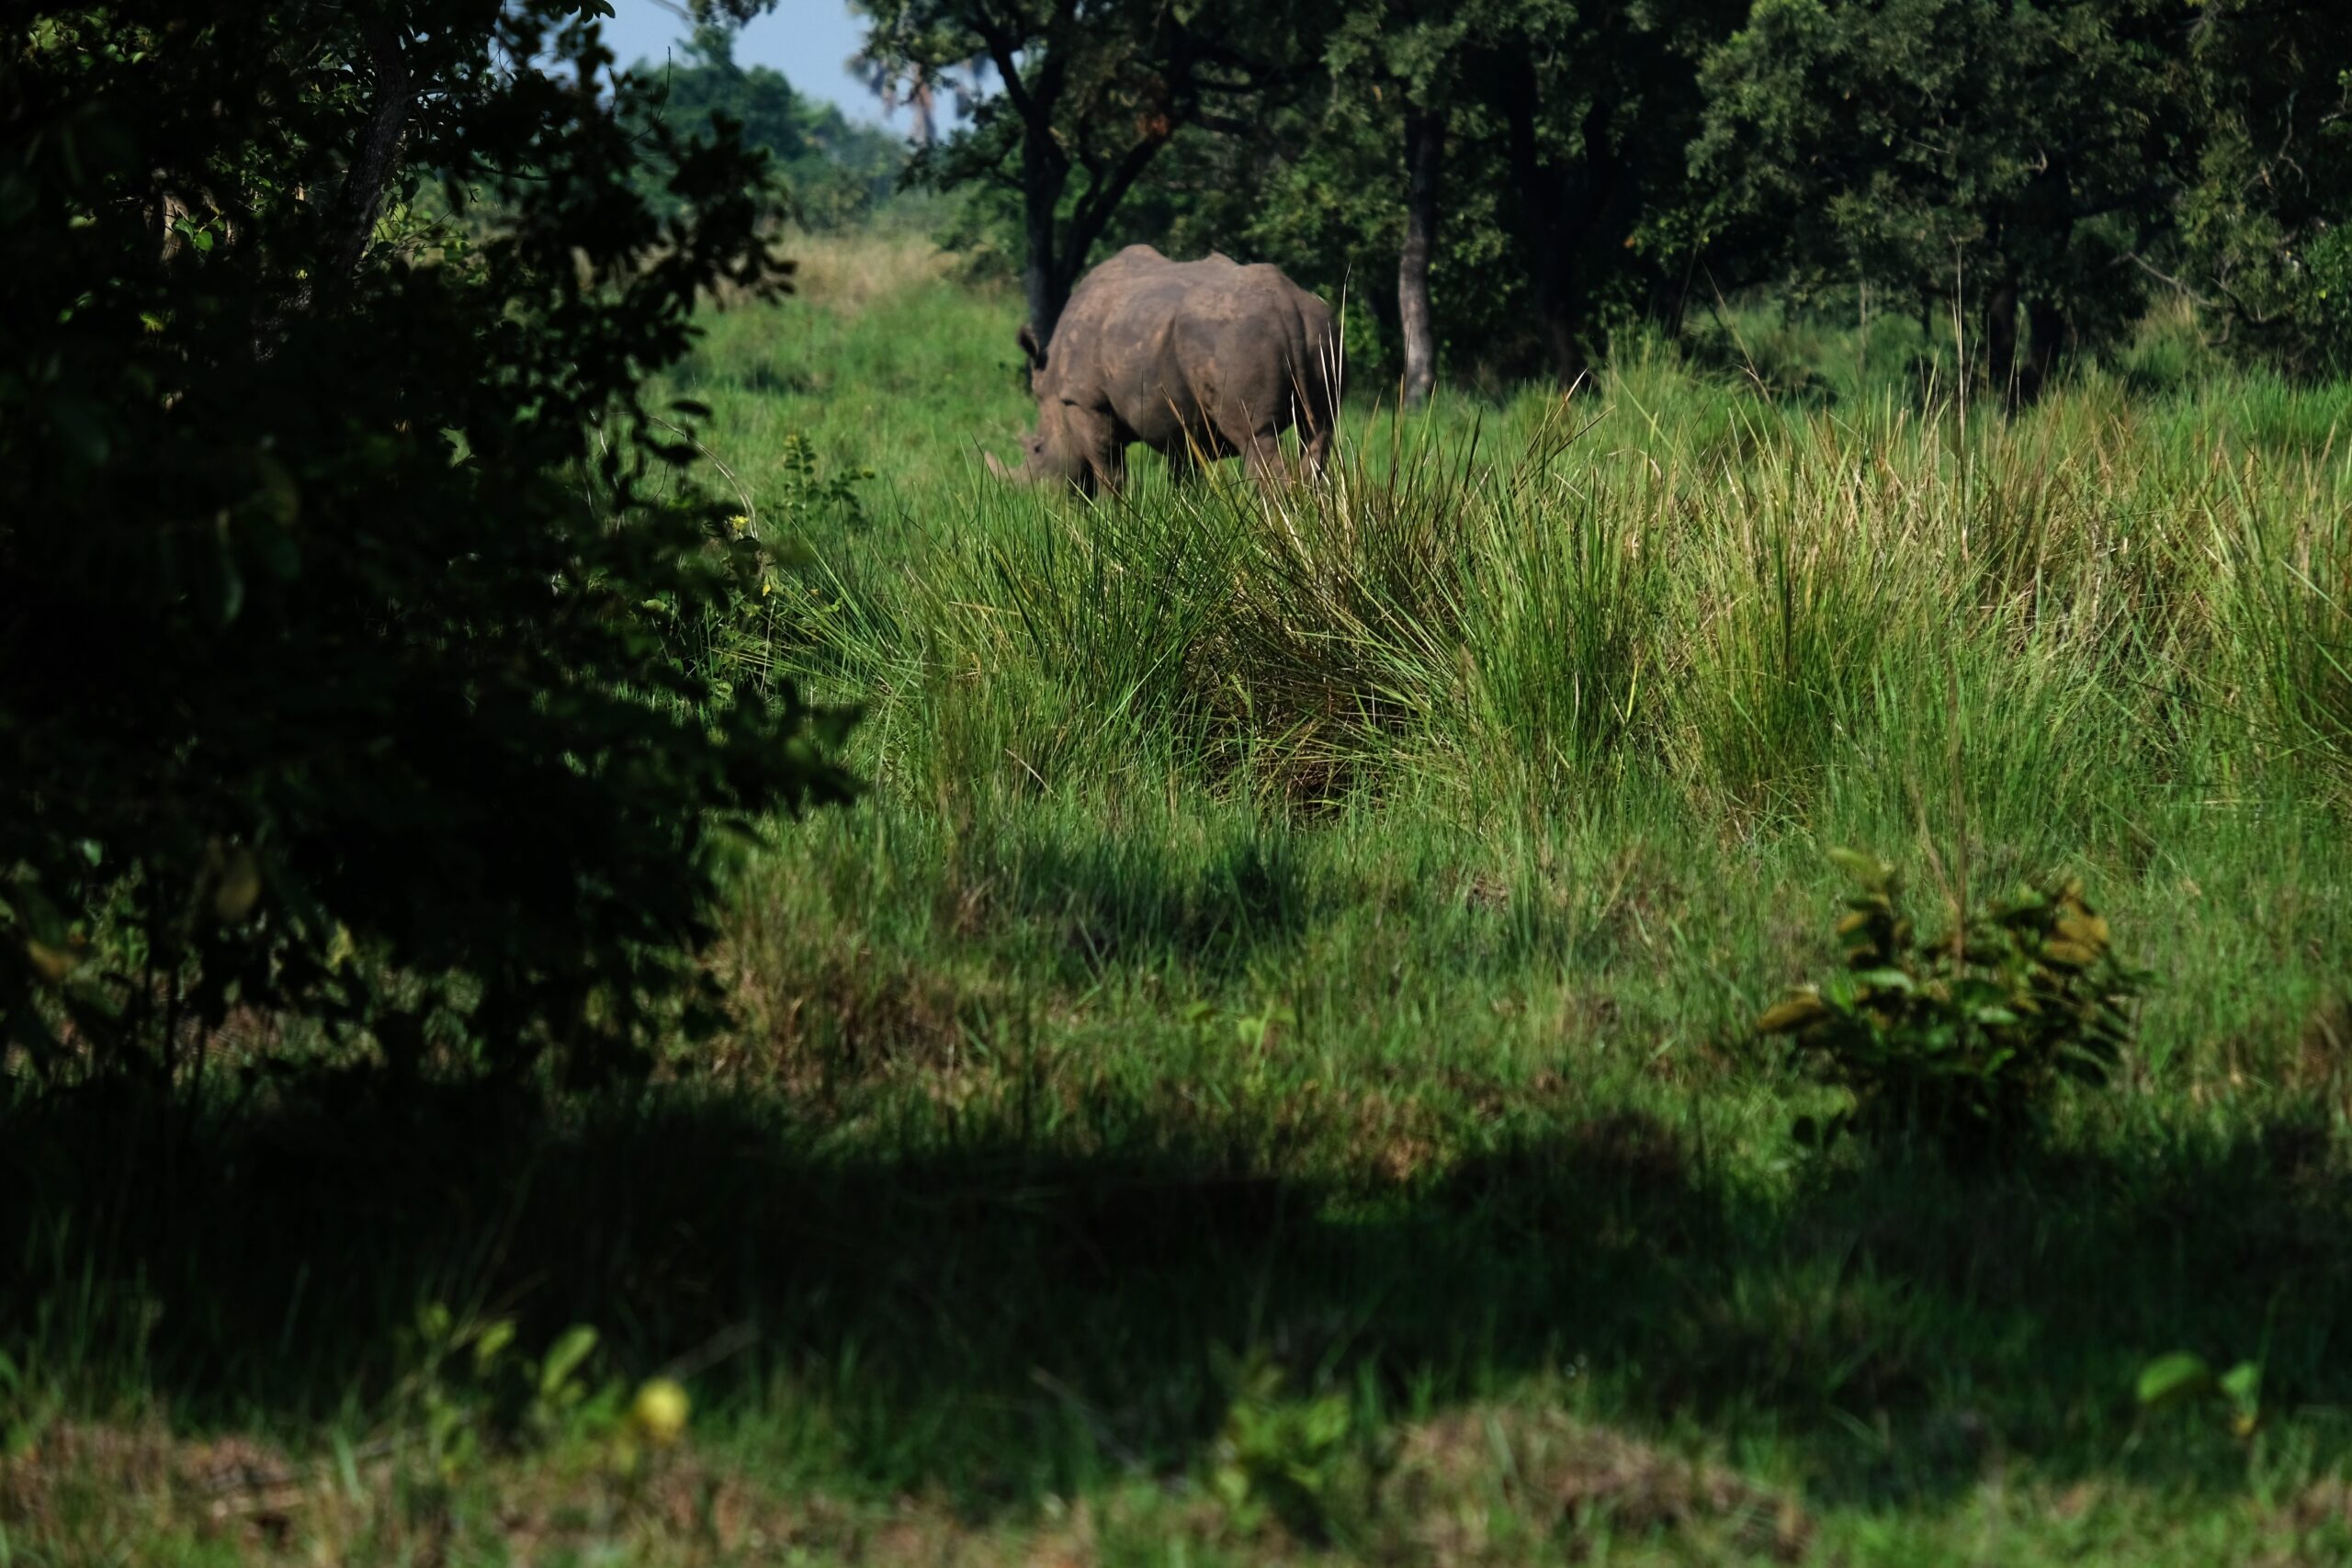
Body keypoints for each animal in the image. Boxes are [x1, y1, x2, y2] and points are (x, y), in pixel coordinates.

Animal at [986, 245, 1339, 495]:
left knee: (1256, 438)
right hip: (1321, 329)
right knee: (1319, 431)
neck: (1053, 385)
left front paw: (1114, 522)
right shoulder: (1176, 414)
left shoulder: (1084, 402)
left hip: (1237, 338)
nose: (1045, 501)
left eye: (1037, 449)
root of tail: (1287, 304)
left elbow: (1110, 473)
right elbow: (1184, 474)